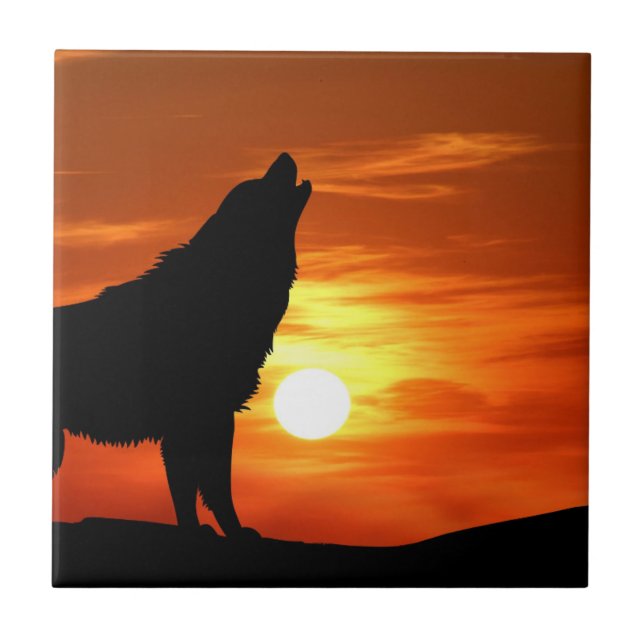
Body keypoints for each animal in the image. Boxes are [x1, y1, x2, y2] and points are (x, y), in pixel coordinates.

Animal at [53, 153, 312, 539]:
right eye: (257, 185)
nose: (284, 155)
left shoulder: (203, 421)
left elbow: (191, 488)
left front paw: (209, 530)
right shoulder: (199, 418)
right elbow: (209, 487)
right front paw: (224, 531)